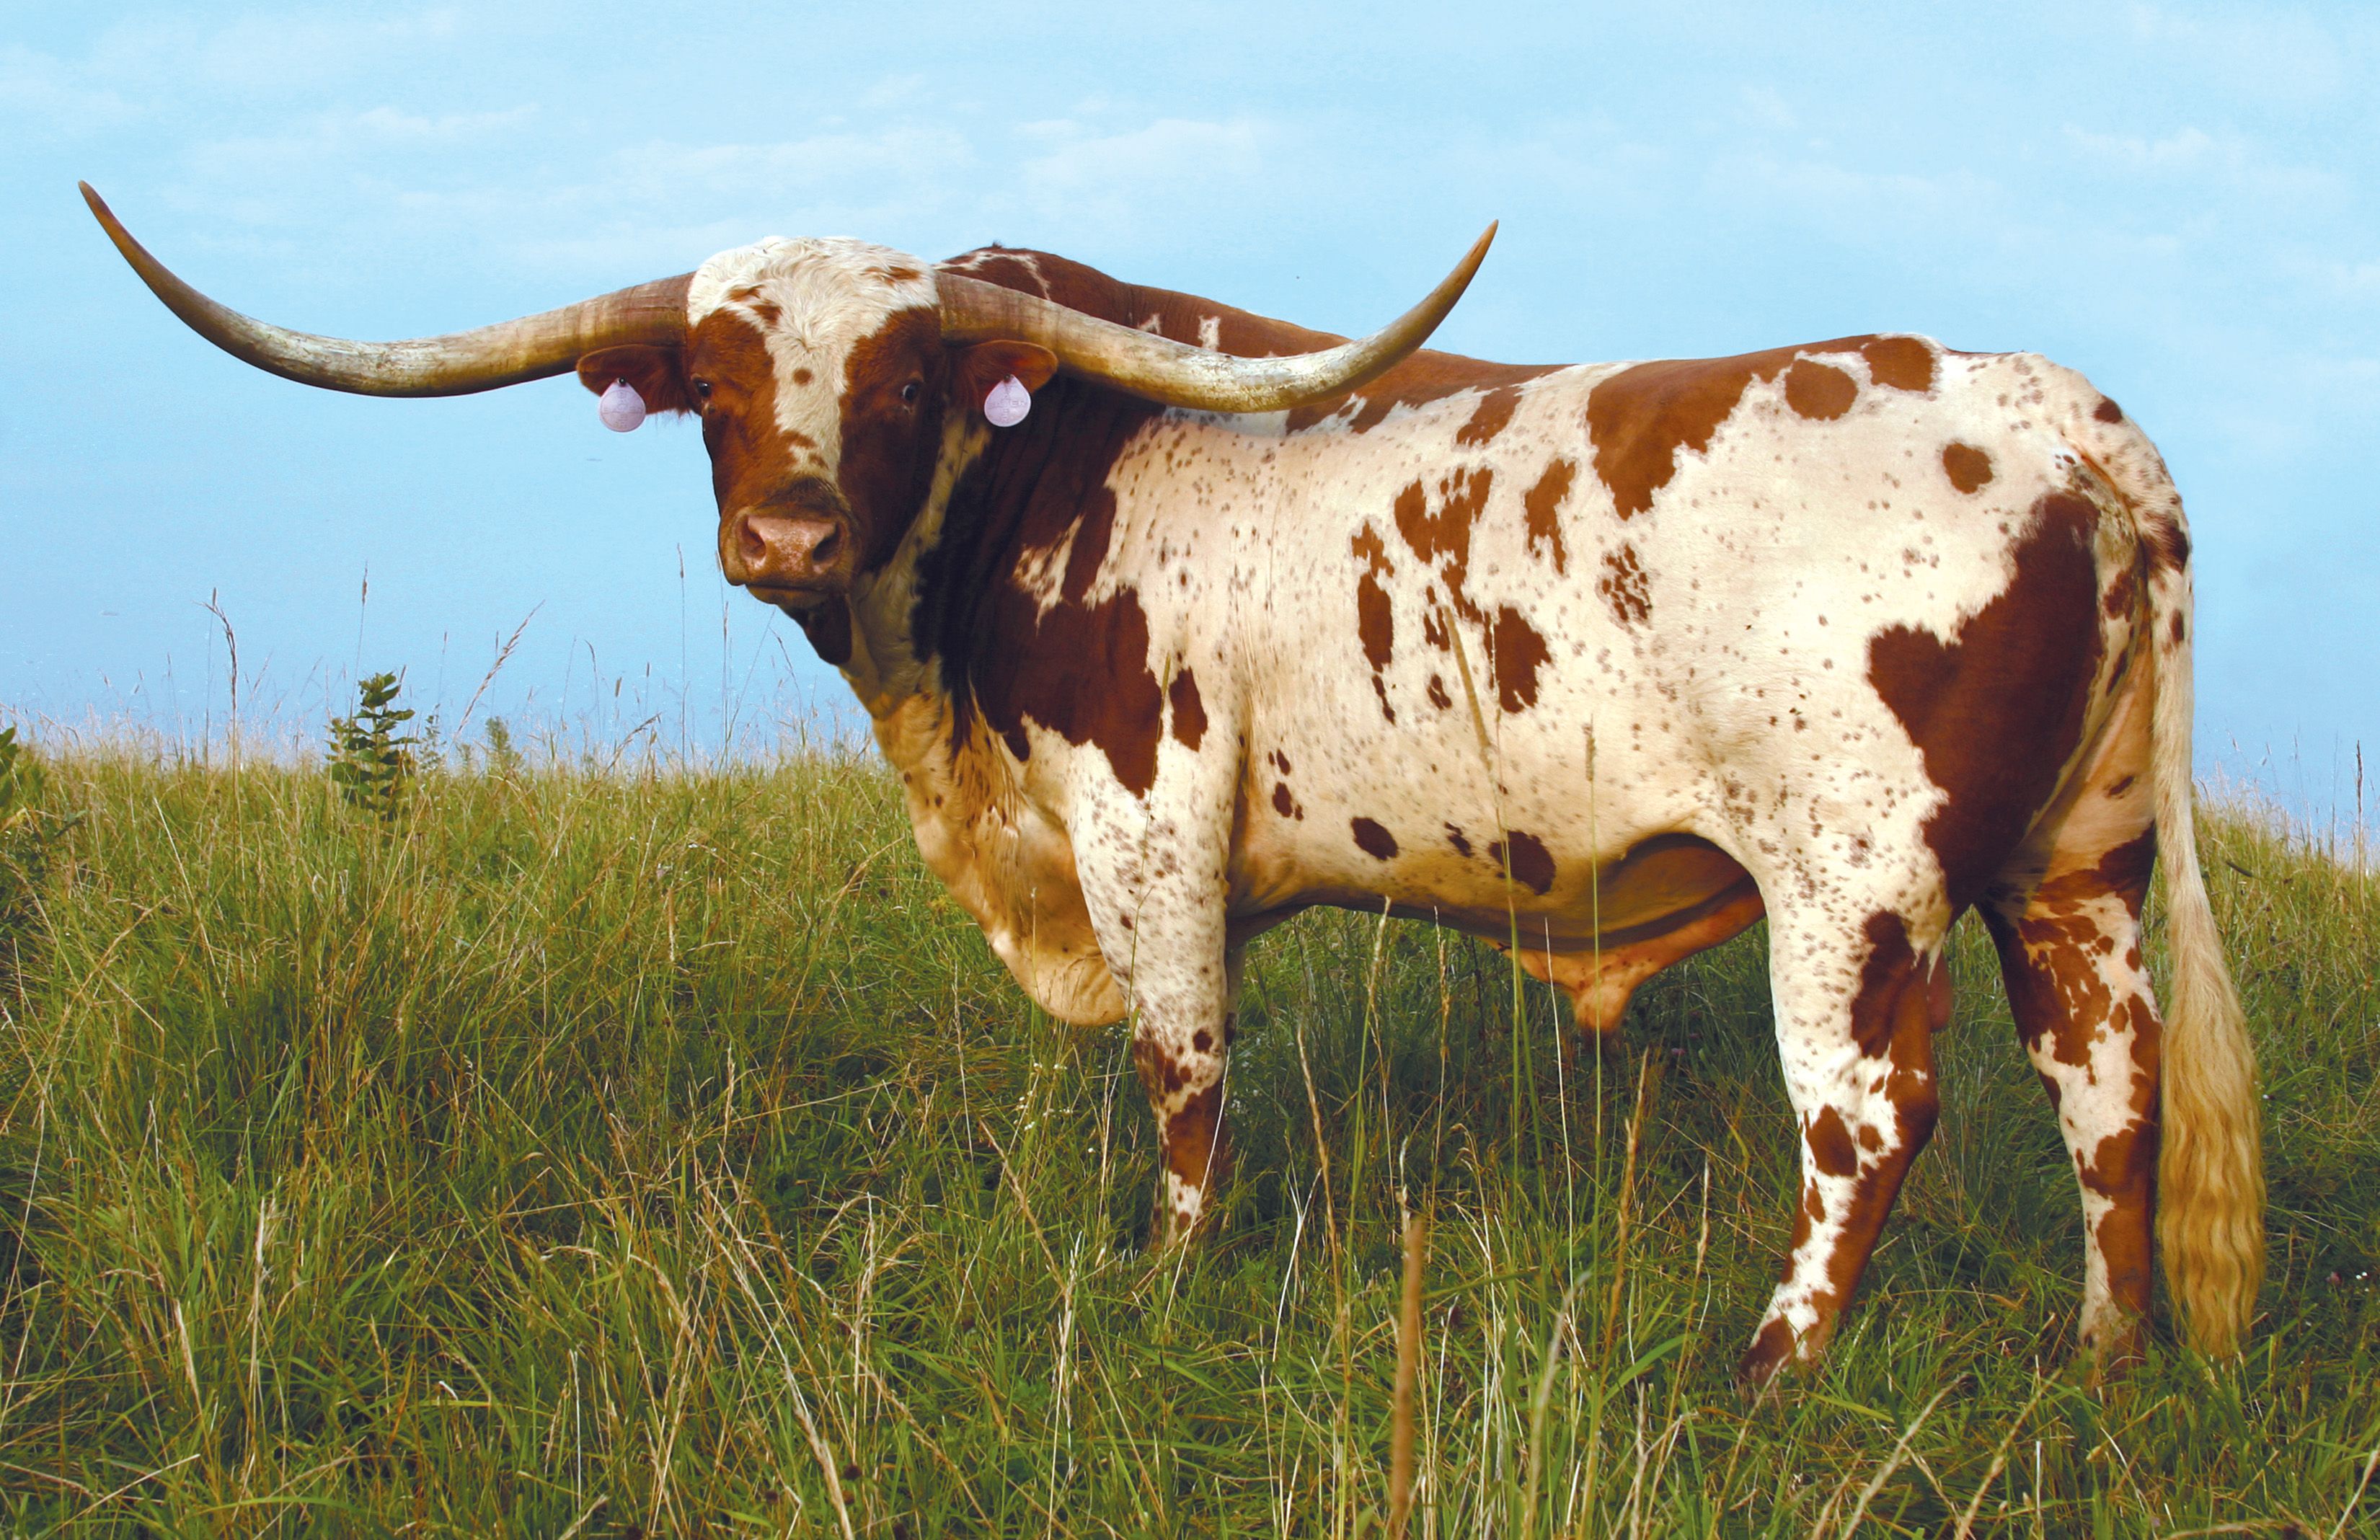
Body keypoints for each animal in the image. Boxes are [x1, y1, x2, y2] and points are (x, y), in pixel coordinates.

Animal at [83, 181, 2263, 1383]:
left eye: (899, 380)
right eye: (709, 382)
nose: (785, 535)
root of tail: (2052, 411)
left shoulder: (1147, 823)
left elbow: (1182, 1064)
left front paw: (1165, 1281)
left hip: (1855, 884)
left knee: (1867, 1125)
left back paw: (1763, 1375)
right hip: (2071, 867)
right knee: (2105, 1097)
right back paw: (2097, 1364)